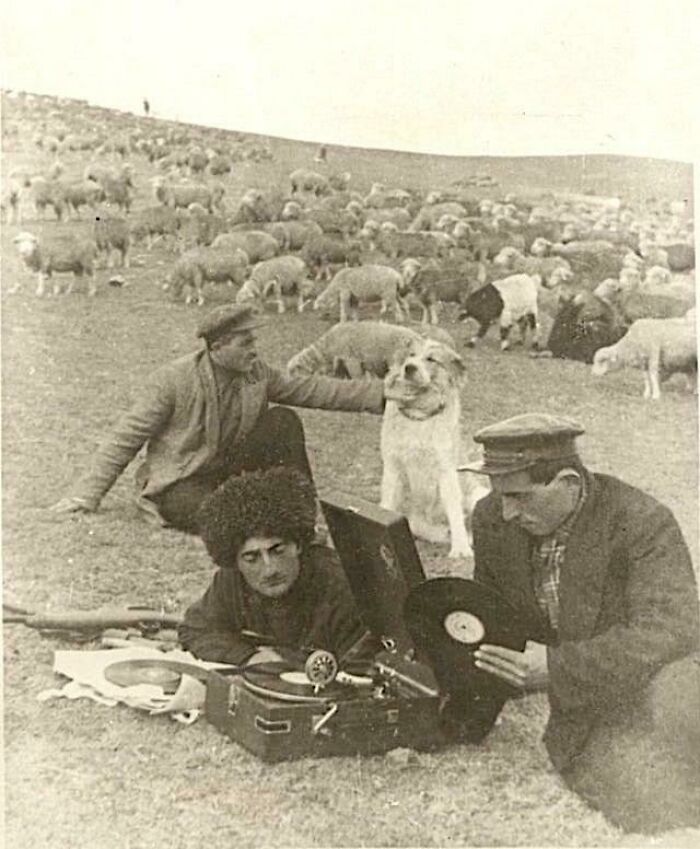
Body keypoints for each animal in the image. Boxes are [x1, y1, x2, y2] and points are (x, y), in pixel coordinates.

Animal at [380, 334, 490, 560]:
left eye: (431, 359)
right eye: (411, 355)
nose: (409, 368)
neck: (419, 417)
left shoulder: (446, 470)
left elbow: (455, 512)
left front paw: (460, 547)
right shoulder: (393, 467)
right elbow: (387, 504)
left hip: (478, 496)